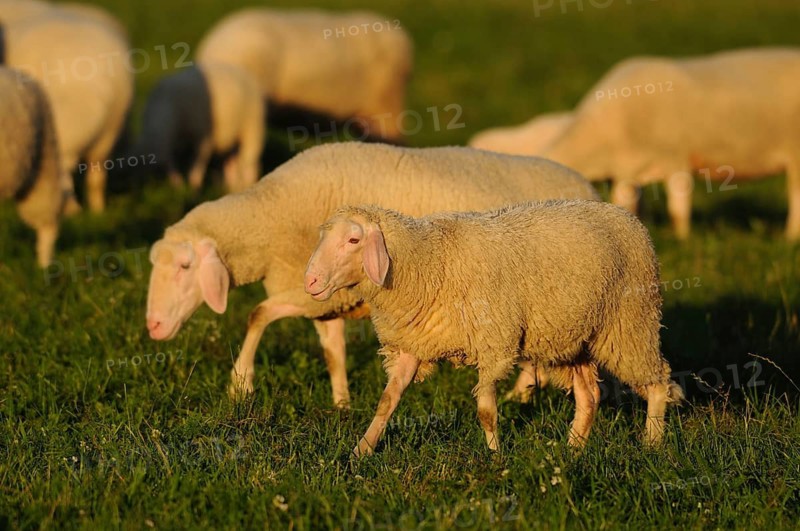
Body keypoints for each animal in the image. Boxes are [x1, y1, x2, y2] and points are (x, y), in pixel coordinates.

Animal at [131, 62, 265, 192]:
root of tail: (241, 72)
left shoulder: (203, 135)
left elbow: (199, 159)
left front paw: (194, 183)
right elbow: (173, 161)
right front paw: (178, 183)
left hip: (252, 128)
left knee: (249, 162)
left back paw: (247, 184)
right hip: (232, 137)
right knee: (232, 162)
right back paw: (231, 186)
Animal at [145, 142, 600, 408]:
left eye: (185, 267)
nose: (152, 327)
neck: (271, 216)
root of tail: (588, 188)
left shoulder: (313, 290)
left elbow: (257, 314)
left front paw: (240, 384)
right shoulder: (324, 297)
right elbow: (332, 351)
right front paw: (342, 403)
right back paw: (524, 392)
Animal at [304, 201, 684, 455]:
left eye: (353, 241)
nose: (310, 281)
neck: (428, 261)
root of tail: (625, 215)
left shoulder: (494, 342)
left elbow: (486, 411)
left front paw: (494, 457)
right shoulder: (414, 345)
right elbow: (387, 401)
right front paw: (362, 449)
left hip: (629, 324)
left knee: (657, 380)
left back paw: (652, 441)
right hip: (571, 339)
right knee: (589, 395)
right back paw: (572, 448)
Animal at [541, 47, 800, 239]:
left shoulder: (675, 158)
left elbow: (677, 206)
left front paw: (682, 238)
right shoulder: (628, 169)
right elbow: (631, 204)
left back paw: (790, 238)